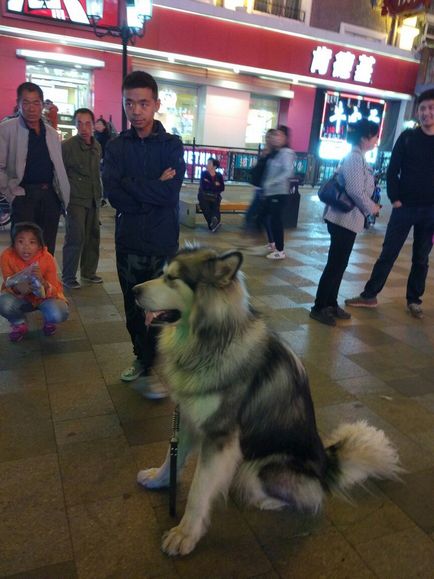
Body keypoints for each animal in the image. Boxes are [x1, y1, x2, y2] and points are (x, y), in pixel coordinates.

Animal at [132, 248, 400, 556]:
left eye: (172, 278)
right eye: (162, 273)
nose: (133, 290)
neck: (209, 343)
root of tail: (325, 467)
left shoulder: (219, 436)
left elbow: (199, 490)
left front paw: (184, 534)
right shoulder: (189, 417)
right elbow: (171, 456)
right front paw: (158, 478)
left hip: (256, 469)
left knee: (308, 497)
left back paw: (265, 500)